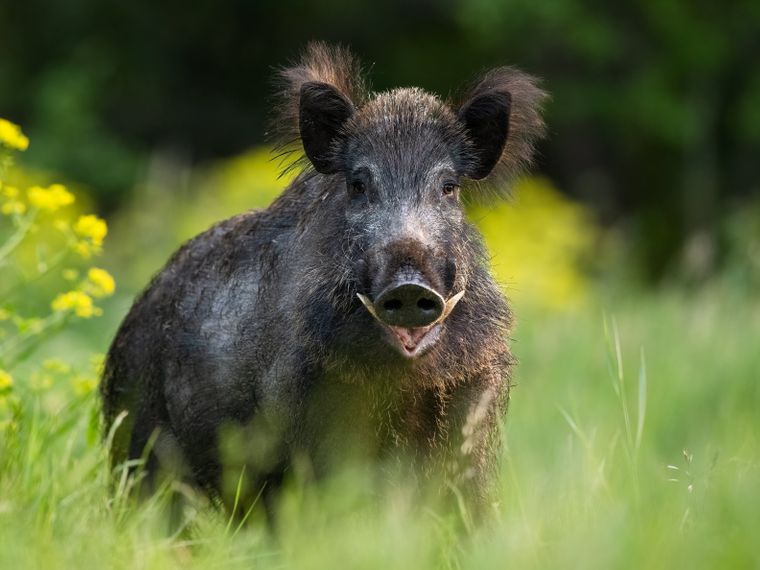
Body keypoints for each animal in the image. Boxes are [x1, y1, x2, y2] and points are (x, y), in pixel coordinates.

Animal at [101, 42, 546, 516]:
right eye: (357, 185)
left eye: (448, 187)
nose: (409, 286)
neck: (404, 386)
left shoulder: (472, 413)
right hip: (138, 440)